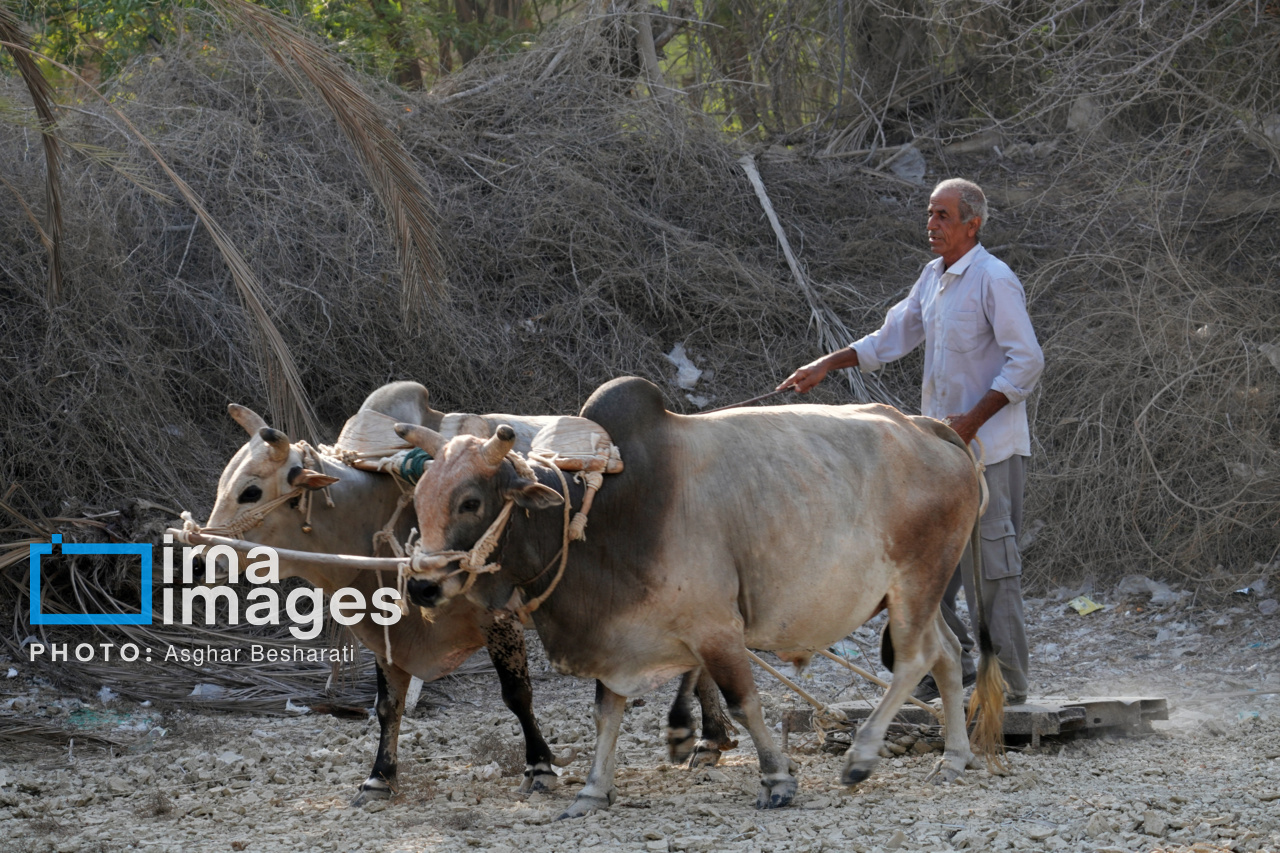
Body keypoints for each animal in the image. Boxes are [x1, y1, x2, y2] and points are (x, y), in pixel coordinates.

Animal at [192, 381, 735, 806]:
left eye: (251, 491)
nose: (202, 556)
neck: (379, 507)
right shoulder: (389, 627)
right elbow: (387, 706)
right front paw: (378, 779)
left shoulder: (496, 615)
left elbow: (517, 694)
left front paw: (540, 768)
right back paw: (710, 739)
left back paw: (706, 738)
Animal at [393, 376, 1004, 819]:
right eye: (418, 497)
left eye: (471, 501)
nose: (421, 584)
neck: (606, 511)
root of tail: (930, 427)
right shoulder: (620, 638)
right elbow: (608, 712)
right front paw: (593, 790)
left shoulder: (717, 630)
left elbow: (742, 701)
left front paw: (777, 780)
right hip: (917, 594)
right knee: (949, 656)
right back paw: (954, 758)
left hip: (917, 583)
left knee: (915, 661)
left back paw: (861, 757)